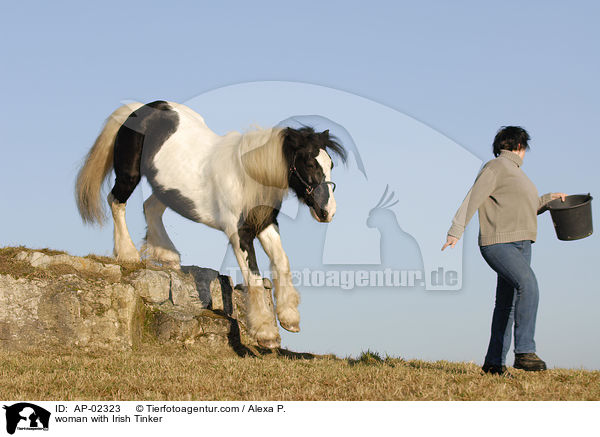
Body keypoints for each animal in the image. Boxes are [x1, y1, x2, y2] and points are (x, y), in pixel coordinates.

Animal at [75, 99, 346, 348]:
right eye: (309, 163)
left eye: (331, 164)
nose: (328, 212)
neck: (246, 175)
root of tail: (141, 108)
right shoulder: (239, 233)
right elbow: (254, 276)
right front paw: (266, 333)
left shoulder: (265, 223)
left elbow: (282, 262)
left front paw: (290, 318)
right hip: (129, 175)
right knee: (116, 201)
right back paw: (127, 254)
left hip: (166, 188)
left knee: (150, 207)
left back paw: (168, 255)